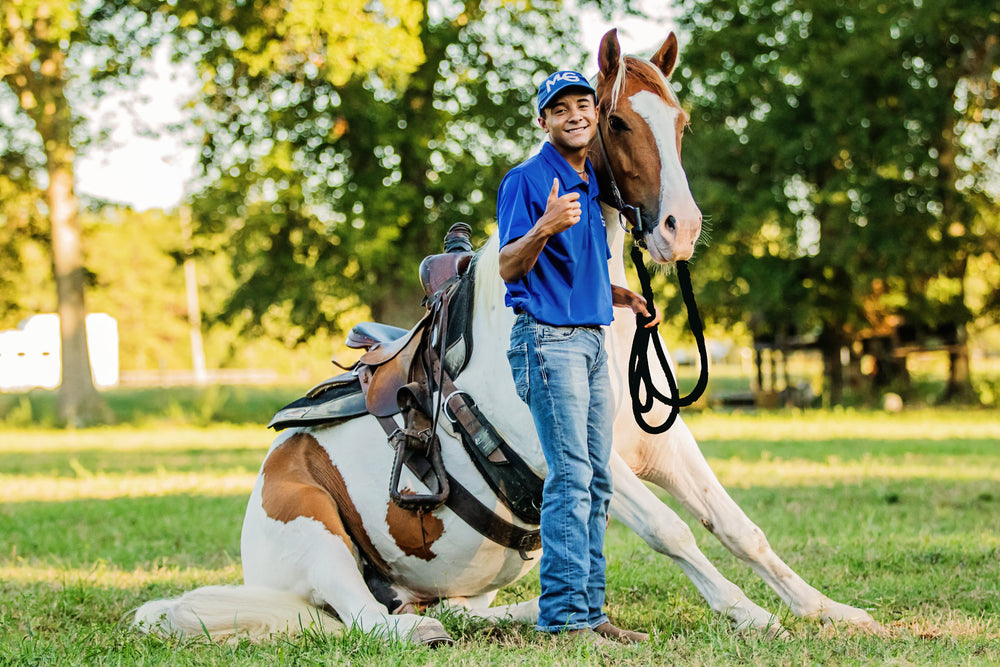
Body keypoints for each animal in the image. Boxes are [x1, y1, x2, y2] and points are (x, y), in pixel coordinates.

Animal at [134, 28, 878, 645]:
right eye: (616, 120)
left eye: (681, 122)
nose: (681, 228)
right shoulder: (573, 453)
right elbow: (671, 532)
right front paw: (750, 614)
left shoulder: (664, 448)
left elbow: (738, 527)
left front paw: (827, 610)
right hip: (316, 539)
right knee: (365, 618)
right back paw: (421, 631)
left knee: (456, 610)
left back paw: (528, 615)